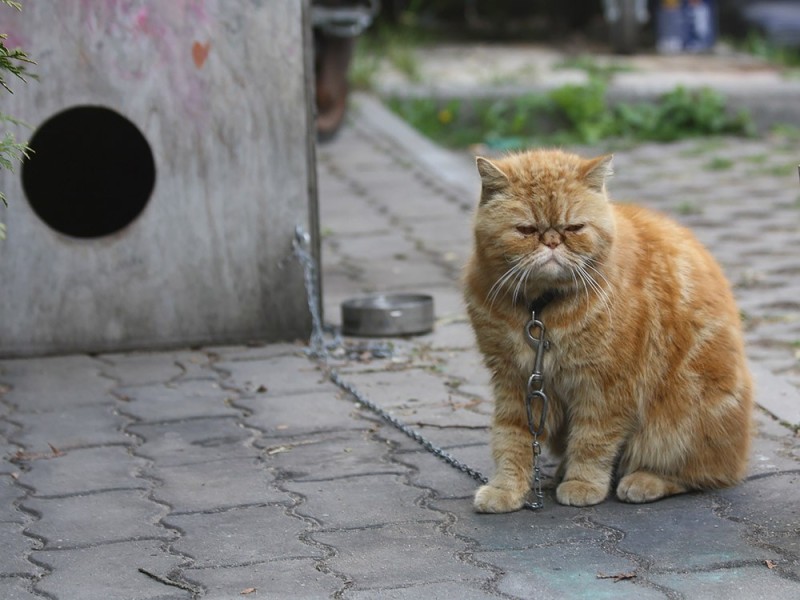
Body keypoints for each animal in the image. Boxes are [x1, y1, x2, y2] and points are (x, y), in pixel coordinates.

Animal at [466, 149, 752, 510]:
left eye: (574, 227)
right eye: (527, 230)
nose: (551, 241)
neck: (541, 308)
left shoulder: (606, 386)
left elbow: (593, 441)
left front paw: (583, 483)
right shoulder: (515, 382)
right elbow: (511, 439)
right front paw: (505, 488)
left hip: (680, 421)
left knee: (701, 474)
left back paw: (644, 480)